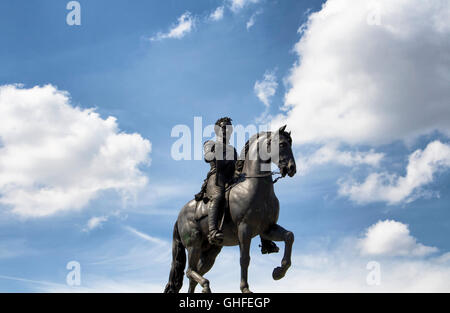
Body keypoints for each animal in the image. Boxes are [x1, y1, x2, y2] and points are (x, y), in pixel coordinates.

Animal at [163, 125, 298, 292]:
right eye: (282, 144)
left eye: (290, 144)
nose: (292, 168)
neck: (253, 186)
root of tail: (179, 216)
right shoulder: (244, 229)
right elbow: (244, 259)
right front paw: (245, 288)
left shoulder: (267, 228)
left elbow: (289, 236)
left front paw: (279, 272)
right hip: (194, 244)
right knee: (189, 270)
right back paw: (206, 284)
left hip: (210, 251)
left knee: (194, 274)